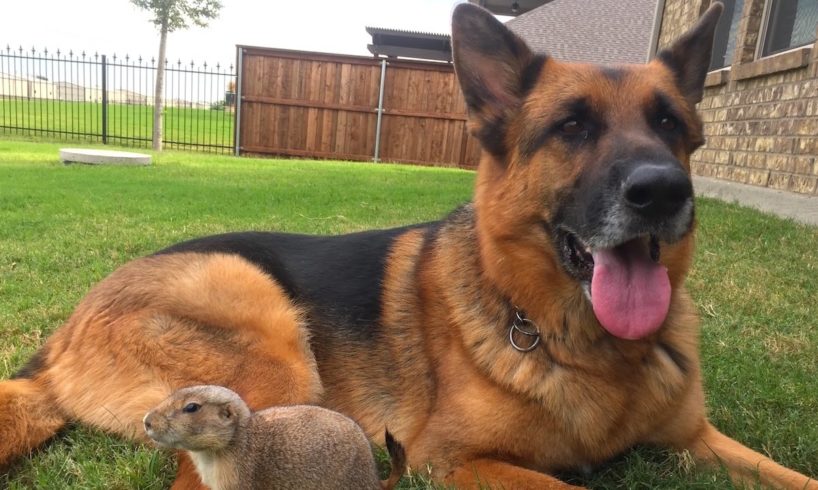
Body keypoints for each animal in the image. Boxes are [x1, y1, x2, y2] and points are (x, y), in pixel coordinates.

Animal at [1, 3, 816, 490]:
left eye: (671, 124)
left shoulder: (701, 438)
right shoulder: (456, 460)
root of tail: (62, 337)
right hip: (270, 358)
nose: (663, 191)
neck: (580, 343)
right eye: (573, 126)